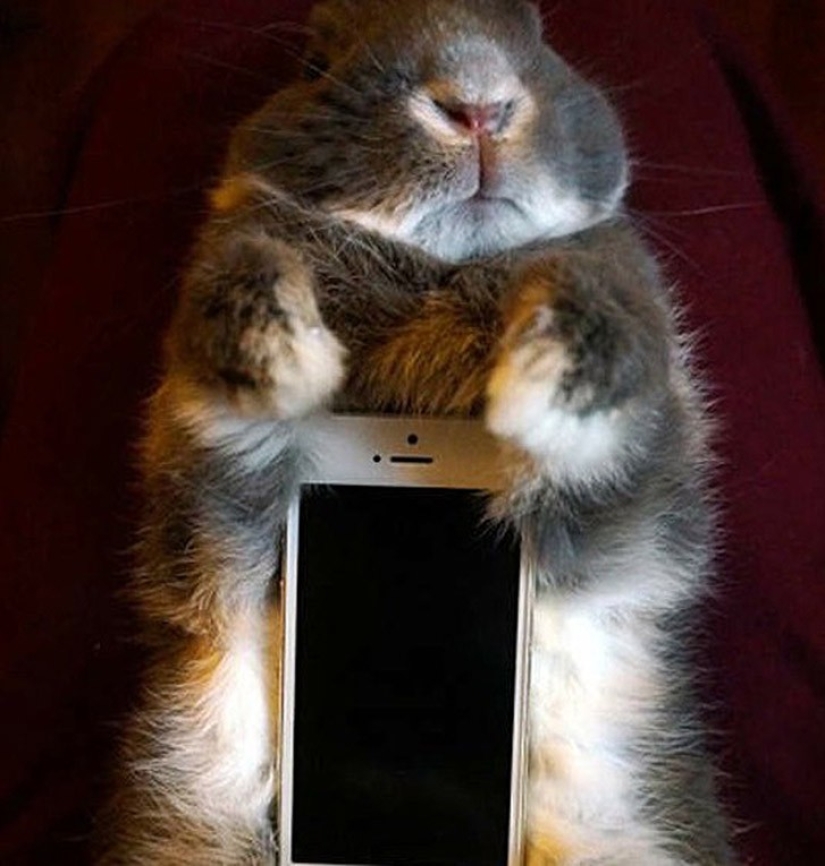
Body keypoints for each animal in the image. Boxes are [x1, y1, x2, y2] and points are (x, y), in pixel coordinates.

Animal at [95, 0, 734, 863]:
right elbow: (241, 273)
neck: (435, 270)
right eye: (315, 63)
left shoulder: (632, 471)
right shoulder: (213, 481)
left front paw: (535, 393)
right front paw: (287, 364)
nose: (477, 103)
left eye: (540, 41)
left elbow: (597, 300)